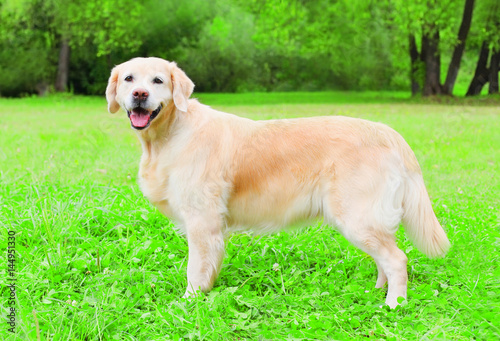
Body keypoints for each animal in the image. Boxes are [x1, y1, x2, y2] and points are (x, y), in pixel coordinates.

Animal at [104, 57, 450, 306]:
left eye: (158, 80)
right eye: (129, 78)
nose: (139, 95)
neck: (169, 134)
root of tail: (389, 132)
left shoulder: (202, 221)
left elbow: (196, 269)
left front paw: (189, 302)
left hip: (356, 216)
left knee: (397, 259)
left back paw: (394, 304)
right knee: (385, 258)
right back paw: (376, 292)